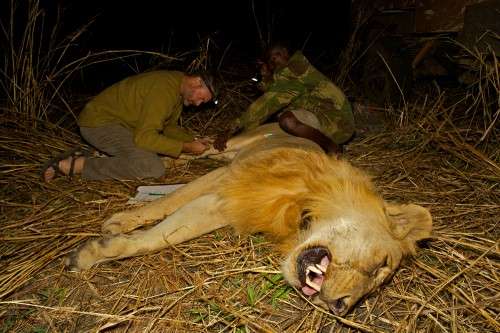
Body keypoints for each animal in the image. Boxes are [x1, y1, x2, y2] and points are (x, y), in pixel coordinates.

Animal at [65, 123, 434, 316]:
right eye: (381, 265)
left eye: (375, 289)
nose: (340, 308)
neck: (302, 210)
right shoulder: (228, 179)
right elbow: (169, 203)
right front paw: (112, 233)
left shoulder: (220, 204)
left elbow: (162, 236)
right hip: (237, 145)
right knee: (203, 149)